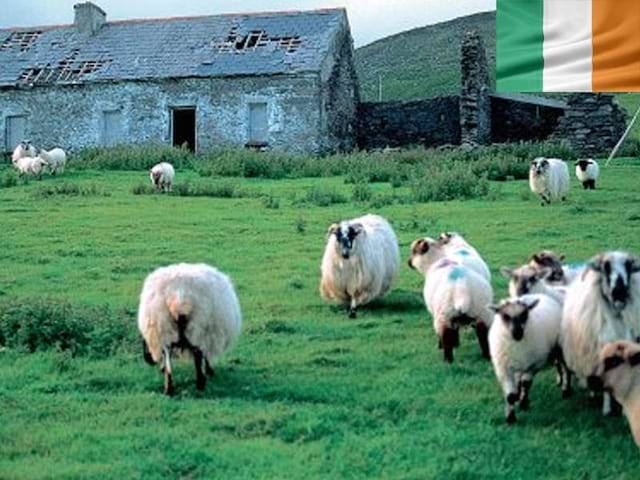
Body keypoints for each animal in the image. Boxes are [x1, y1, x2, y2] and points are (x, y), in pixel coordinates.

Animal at [138, 262, 242, 394]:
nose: (148, 359)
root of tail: (180, 298)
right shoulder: (210, 337)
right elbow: (206, 355)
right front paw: (209, 370)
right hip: (198, 327)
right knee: (197, 353)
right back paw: (200, 383)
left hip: (164, 326)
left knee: (167, 352)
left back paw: (169, 387)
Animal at [408, 234, 492, 362]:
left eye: (414, 251)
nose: (408, 262)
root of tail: (462, 291)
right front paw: (456, 343)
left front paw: (442, 345)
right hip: (482, 314)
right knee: (483, 337)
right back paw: (487, 357)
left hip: (444, 316)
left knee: (446, 337)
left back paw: (447, 360)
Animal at [490, 294, 564, 422]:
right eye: (505, 316)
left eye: (524, 314)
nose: (518, 333)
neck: (517, 344)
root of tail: (540, 295)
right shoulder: (504, 369)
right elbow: (510, 396)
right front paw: (510, 417)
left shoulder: (533, 365)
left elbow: (526, 384)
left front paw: (523, 404)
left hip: (556, 348)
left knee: (559, 365)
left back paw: (564, 386)